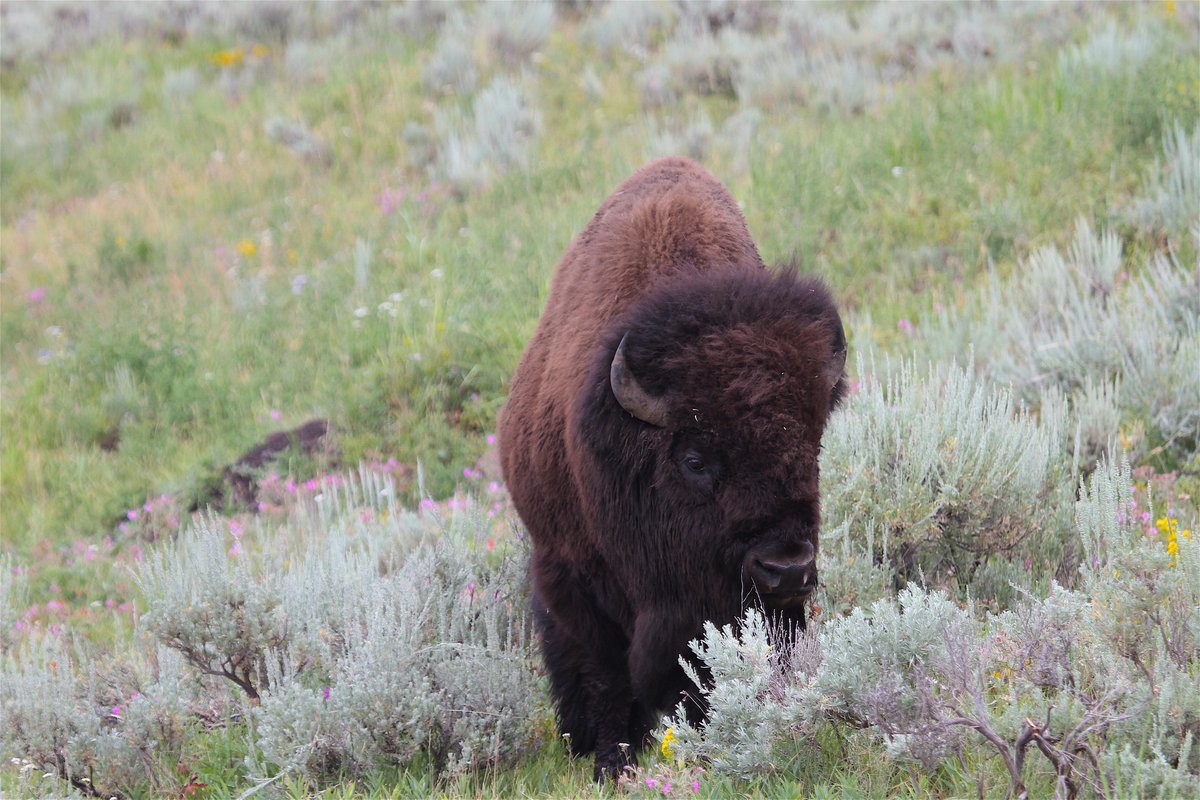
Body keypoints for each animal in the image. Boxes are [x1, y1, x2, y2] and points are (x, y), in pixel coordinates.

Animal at [498, 157, 847, 780]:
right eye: (695, 460)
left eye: (811, 445)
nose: (786, 568)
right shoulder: (573, 574)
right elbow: (606, 675)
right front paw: (610, 763)